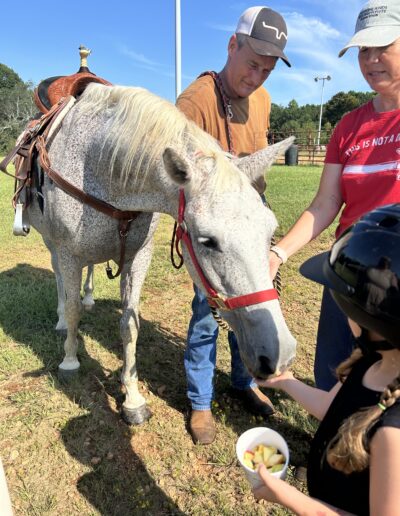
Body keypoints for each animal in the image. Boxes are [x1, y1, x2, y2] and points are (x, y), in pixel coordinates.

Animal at [24, 83, 296, 424]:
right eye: (207, 240)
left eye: (270, 230)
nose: (280, 354)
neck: (99, 169)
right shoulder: (69, 252)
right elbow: (73, 310)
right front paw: (70, 359)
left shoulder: (138, 256)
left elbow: (129, 324)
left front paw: (132, 398)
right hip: (52, 242)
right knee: (60, 277)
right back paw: (61, 317)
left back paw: (88, 297)